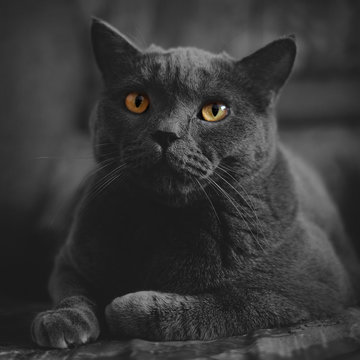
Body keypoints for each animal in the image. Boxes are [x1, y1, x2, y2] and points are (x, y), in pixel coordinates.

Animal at [31, 17, 360, 348]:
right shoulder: (70, 260)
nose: (166, 133)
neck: (164, 221)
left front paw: (126, 307)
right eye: (137, 101)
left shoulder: (316, 285)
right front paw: (62, 320)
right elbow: (73, 290)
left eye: (215, 110)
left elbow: (235, 302)